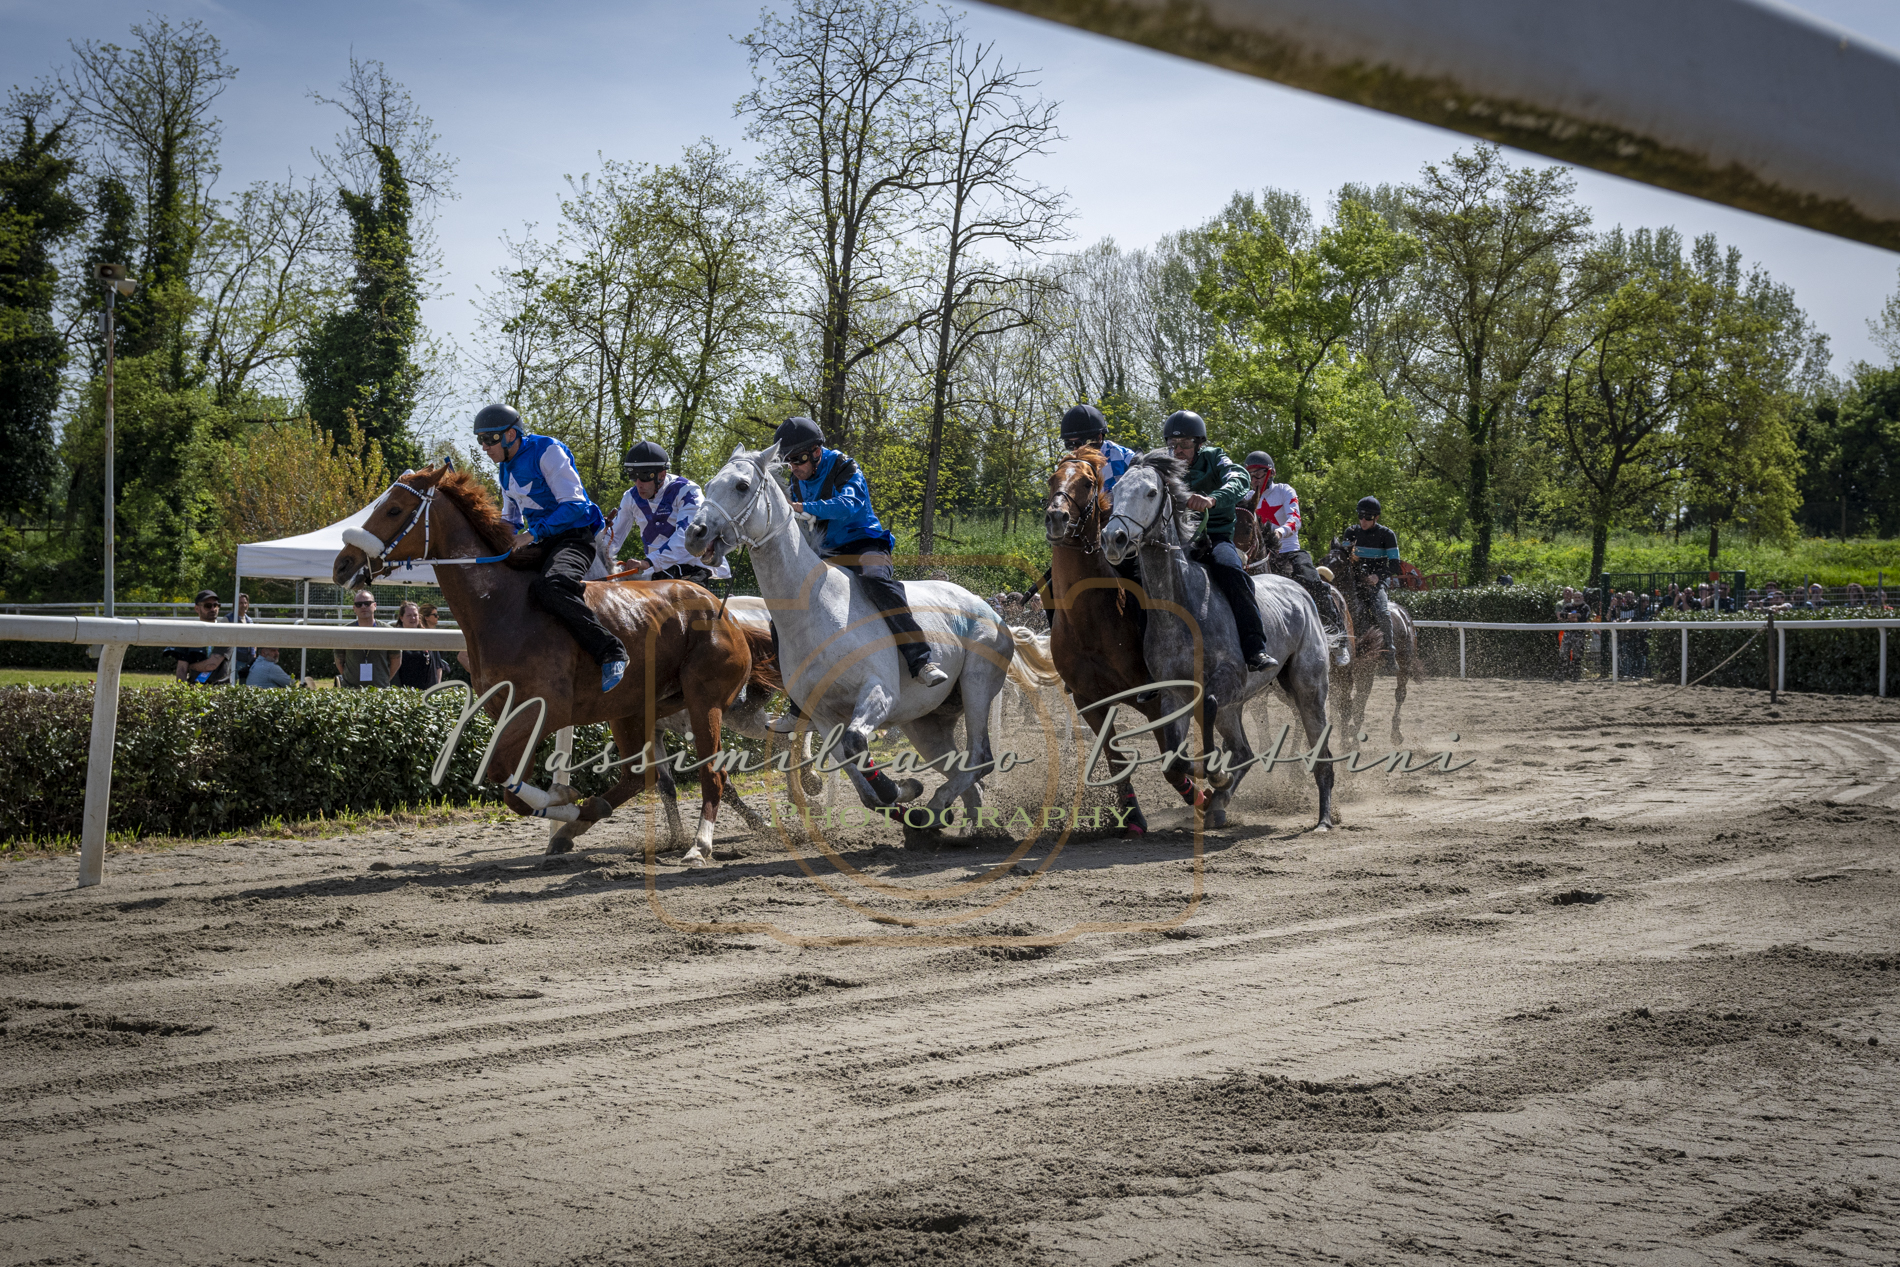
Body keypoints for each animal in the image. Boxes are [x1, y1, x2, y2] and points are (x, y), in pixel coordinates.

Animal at [330, 461, 775, 866]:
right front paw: (569, 807)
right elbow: (509, 783)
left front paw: (566, 799)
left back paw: (700, 844)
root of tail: (726, 614)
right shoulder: (511, 713)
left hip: (705, 703)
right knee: (639, 775)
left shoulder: (547, 708)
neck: (502, 606)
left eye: (393, 509)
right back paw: (581, 825)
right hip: (632, 709)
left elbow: (503, 776)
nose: (343, 564)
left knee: (713, 773)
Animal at [676, 440, 1018, 847]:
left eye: (742, 485)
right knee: (961, 769)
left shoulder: (878, 693)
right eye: (710, 485)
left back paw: (939, 808)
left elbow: (858, 748)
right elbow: (859, 779)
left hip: (978, 686)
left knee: (981, 757)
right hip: (925, 723)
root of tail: (989, 608)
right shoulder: (824, 717)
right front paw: (902, 794)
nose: (695, 534)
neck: (817, 609)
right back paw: (959, 825)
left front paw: (902, 791)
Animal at [1041, 448, 1200, 832]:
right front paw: (1131, 814)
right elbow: (1114, 760)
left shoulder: (1157, 698)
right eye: (1052, 479)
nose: (1056, 517)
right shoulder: (1090, 702)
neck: (1089, 621)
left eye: (1087, 482)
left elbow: (1173, 761)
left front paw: (1200, 796)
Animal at [1102, 453, 1337, 832]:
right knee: (1244, 751)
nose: (1114, 538)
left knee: (1323, 756)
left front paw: (1215, 773)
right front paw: (1214, 781)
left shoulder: (1229, 680)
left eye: (1151, 492)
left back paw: (1324, 819)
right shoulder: (1174, 693)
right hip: (1241, 707)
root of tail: (1300, 592)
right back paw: (1218, 803)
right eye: (1116, 489)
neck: (1183, 607)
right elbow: (1173, 760)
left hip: (1308, 690)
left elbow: (1208, 705)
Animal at [1322, 531, 1428, 744]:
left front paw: (1353, 738)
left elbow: (1357, 708)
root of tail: (1404, 615)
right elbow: (1340, 703)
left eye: (1339, 562)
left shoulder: (1366, 670)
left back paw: (1396, 733)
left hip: (1405, 663)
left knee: (1400, 694)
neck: (1355, 616)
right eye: (1323, 559)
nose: (1319, 576)